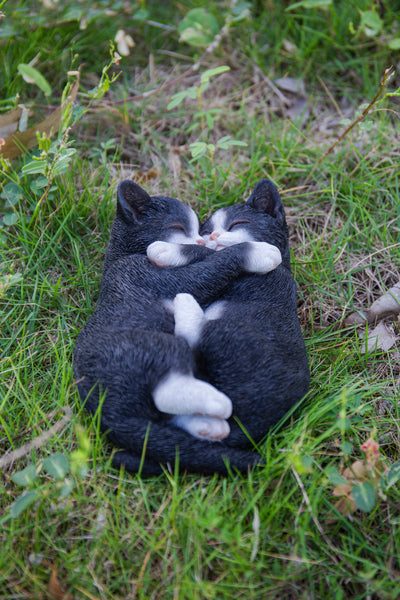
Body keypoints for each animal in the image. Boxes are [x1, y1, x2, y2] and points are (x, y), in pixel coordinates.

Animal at [72, 178, 310, 474]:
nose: (209, 236)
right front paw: (260, 251)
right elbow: (207, 260)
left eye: (237, 224)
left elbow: (211, 260)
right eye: (178, 228)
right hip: (156, 346)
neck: (121, 255)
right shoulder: (147, 274)